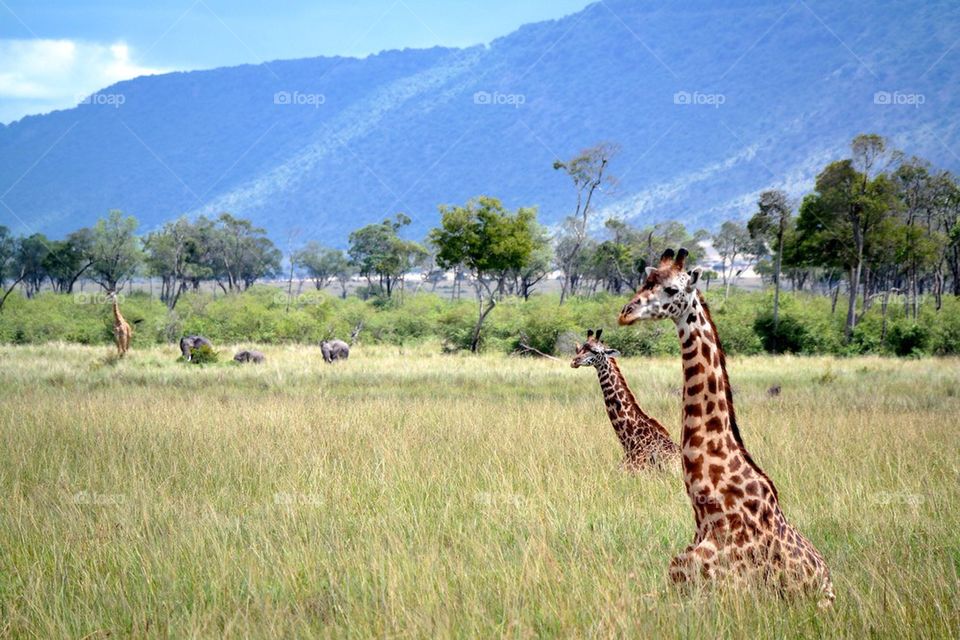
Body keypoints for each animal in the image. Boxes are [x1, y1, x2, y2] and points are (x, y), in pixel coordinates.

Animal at [616, 249, 832, 604]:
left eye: (672, 289)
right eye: (645, 282)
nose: (625, 313)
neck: (708, 503)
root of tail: (828, 581)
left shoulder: (722, 587)